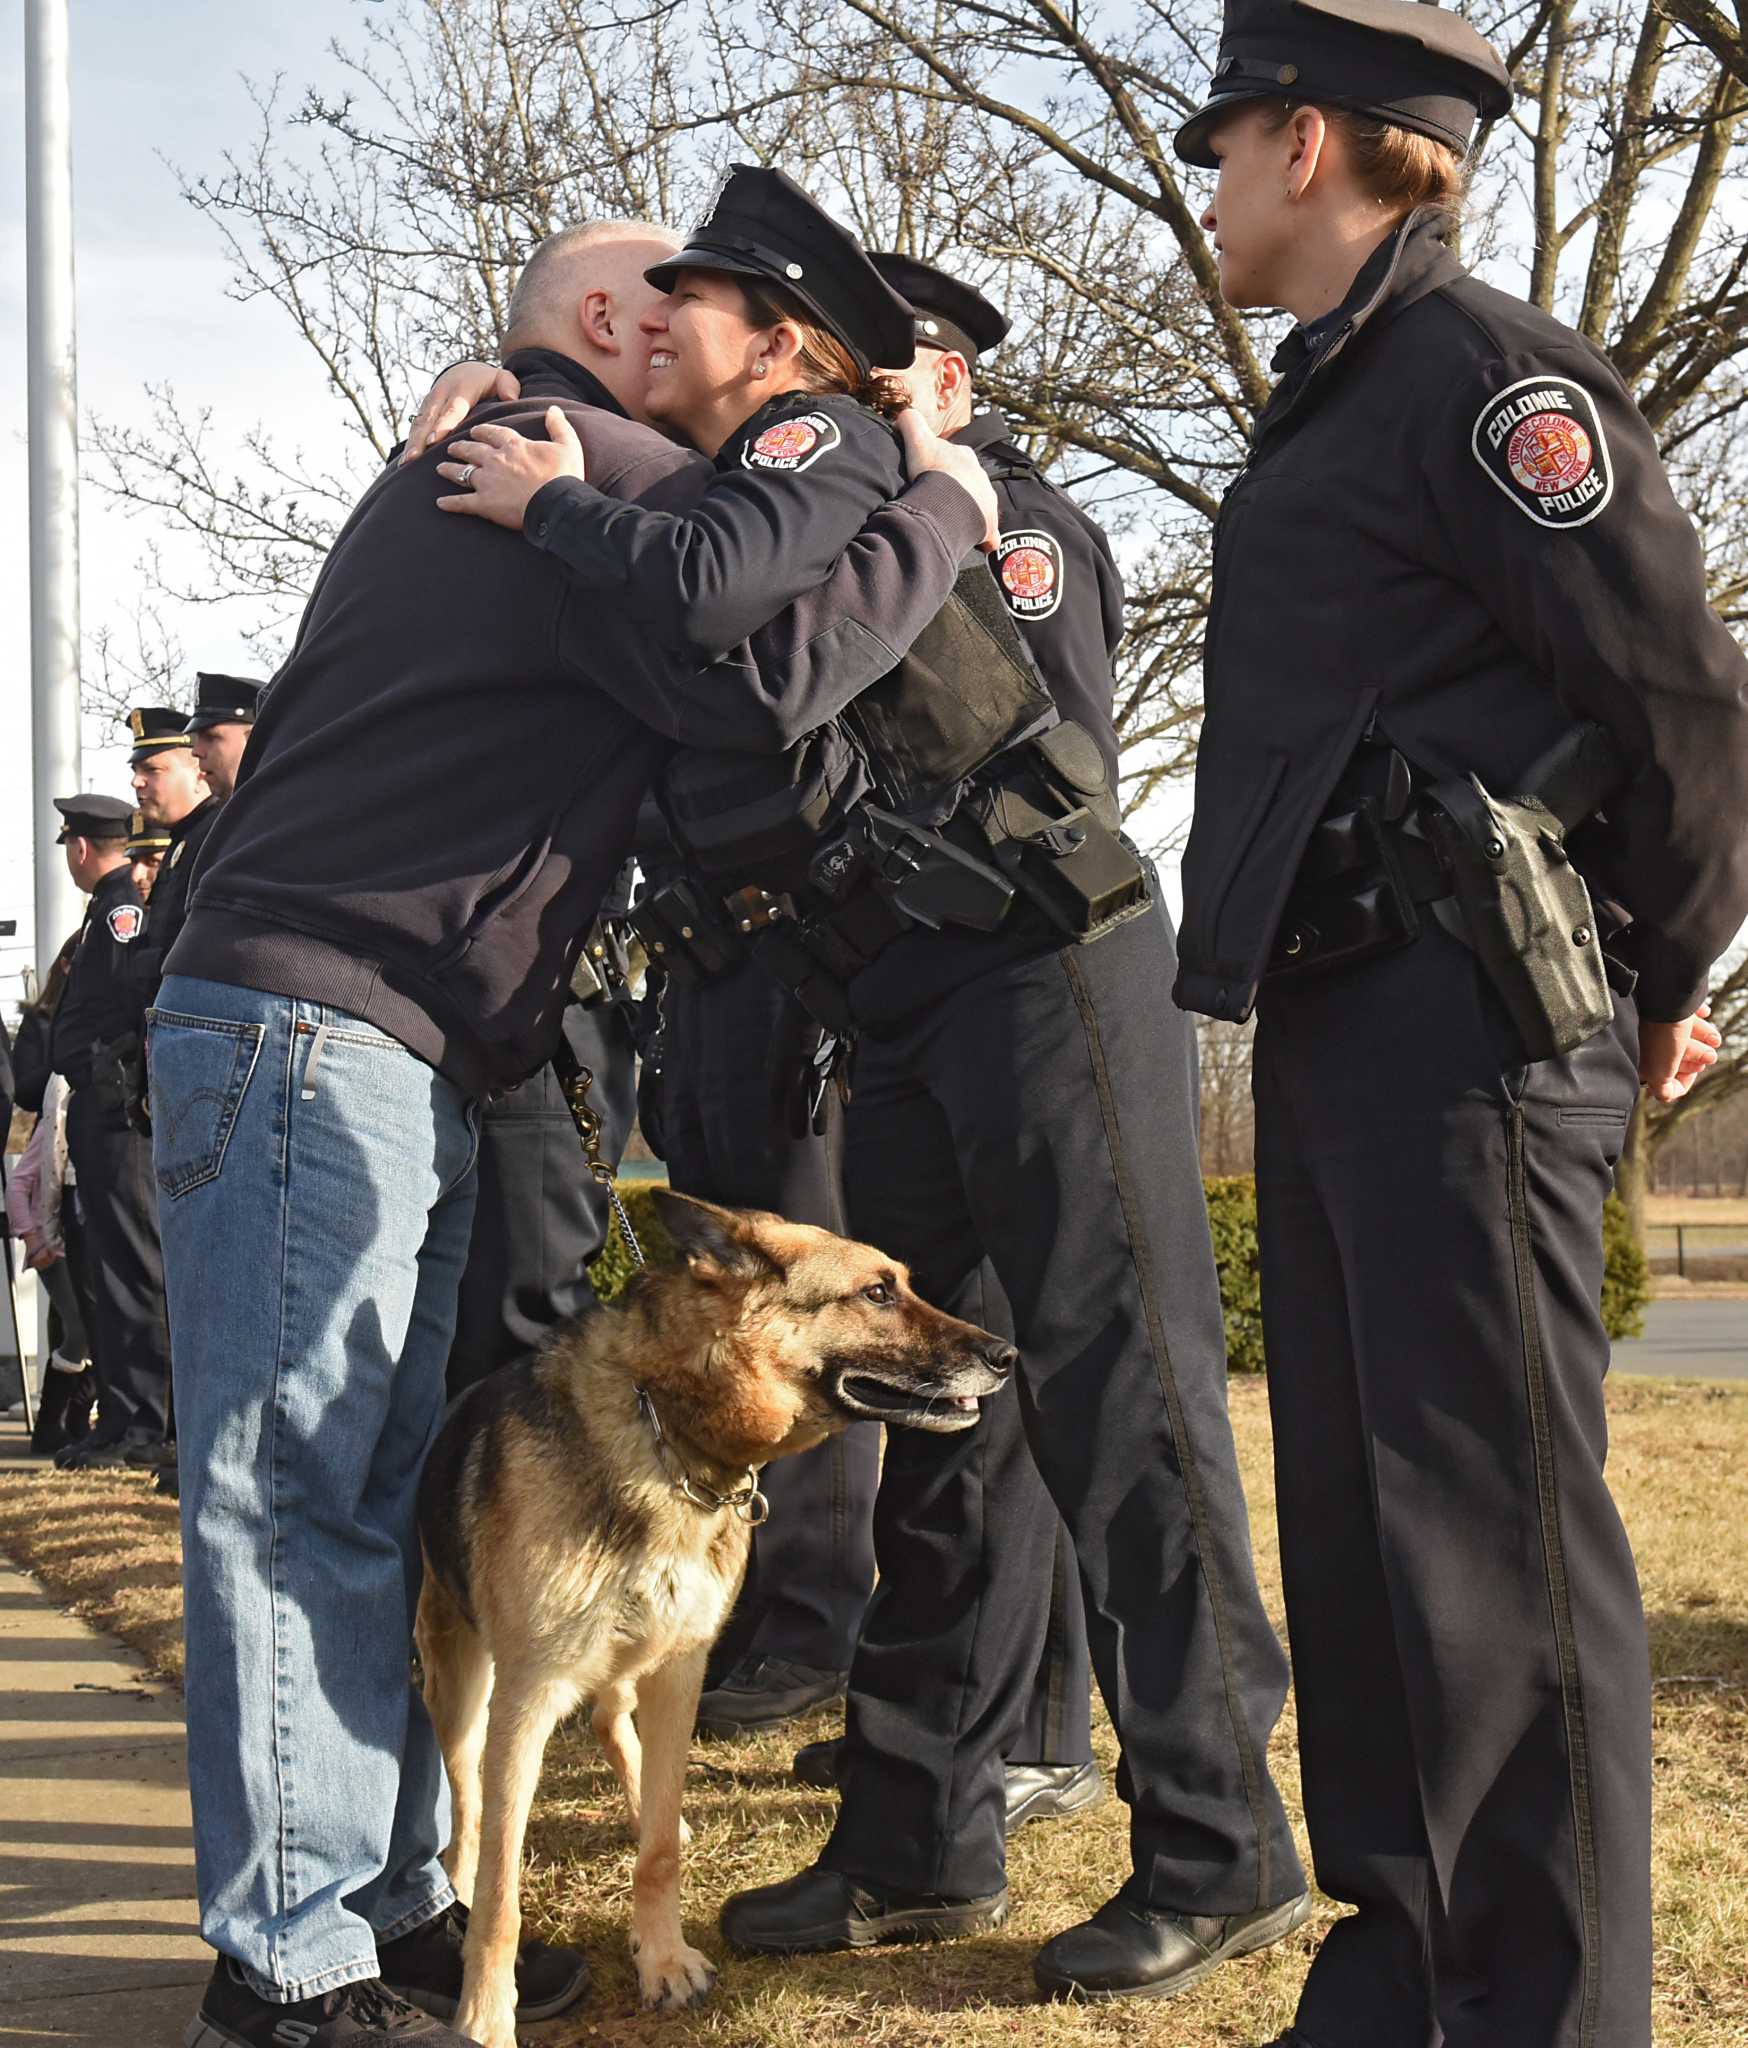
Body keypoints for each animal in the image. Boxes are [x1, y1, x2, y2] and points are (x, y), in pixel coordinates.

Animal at [413, 1196, 1011, 2039]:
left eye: (901, 1285)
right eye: (877, 1293)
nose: (1008, 1355)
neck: (665, 1429)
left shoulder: (680, 1669)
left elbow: (661, 1849)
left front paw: (663, 1959)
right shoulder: (527, 1696)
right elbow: (500, 1887)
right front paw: (485, 2014)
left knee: (609, 1720)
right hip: (465, 1684)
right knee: (467, 1795)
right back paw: (458, 1881)